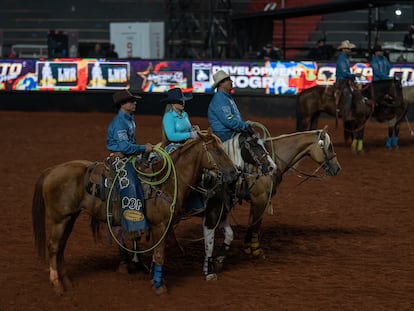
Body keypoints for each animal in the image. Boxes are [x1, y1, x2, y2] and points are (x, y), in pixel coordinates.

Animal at [30, 130, 238, 296]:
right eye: (217, 151)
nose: (234, 173)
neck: (168, 181)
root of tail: (51, 170)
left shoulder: (165, 226)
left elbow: (157, 253)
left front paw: (154, 278)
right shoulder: (160, 225)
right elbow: (160, 254)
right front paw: (159, 287)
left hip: (70, 218)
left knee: (61, 247)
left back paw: (67, 282)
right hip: (60, 220)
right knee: (53, 247)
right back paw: (57, 285)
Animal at [201, 125, 340, 282]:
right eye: (329, 147)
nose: (337, 168)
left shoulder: (258, 201)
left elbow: (253, 223)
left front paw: (248, 247)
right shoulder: (260, 199)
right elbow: (256, 225)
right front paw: (256, 251)